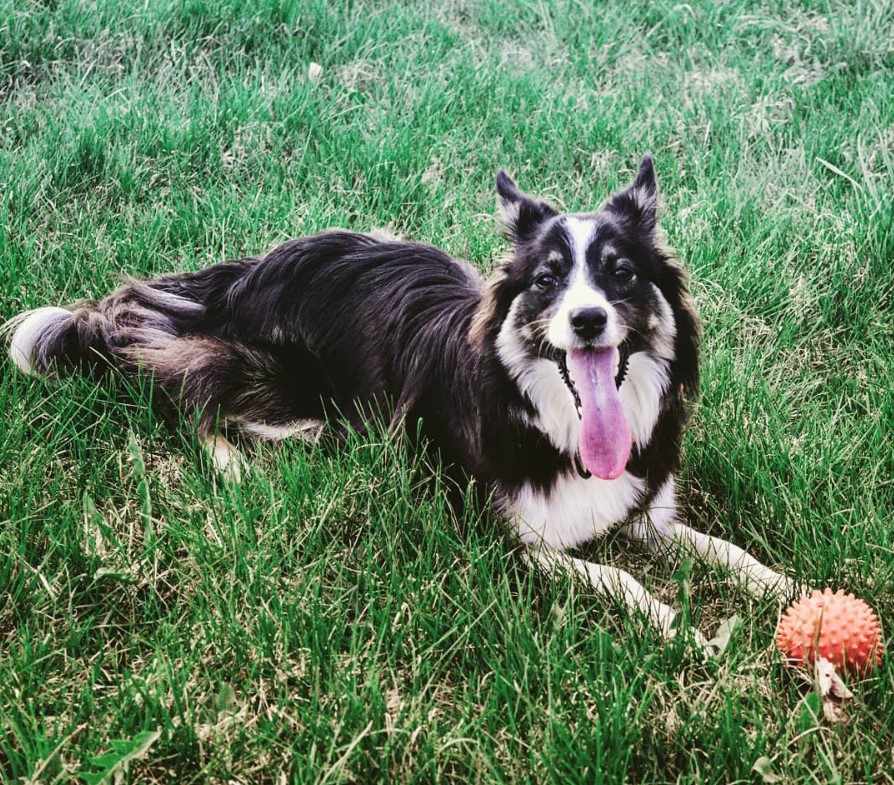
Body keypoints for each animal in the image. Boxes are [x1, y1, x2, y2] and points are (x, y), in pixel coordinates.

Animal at [5, 158, 792, 644]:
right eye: (546, 279)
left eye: (621, 272)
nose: (589, 320)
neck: (554, 420)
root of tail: (236, 277)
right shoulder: (508, 538)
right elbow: (616, 576)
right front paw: (684, 628)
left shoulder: (646, 509)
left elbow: (727, 550)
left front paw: (787, 594)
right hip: (290, 390)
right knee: (191, 395)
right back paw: (233, 466)